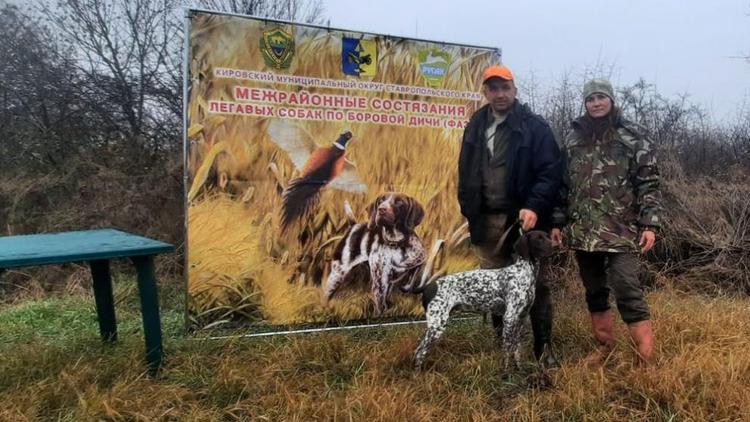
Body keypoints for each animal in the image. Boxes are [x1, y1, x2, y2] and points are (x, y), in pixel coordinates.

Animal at [414, 231, 556, 370]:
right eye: (538, 238)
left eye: (547, 236)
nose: (557, 245)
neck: (524, 273)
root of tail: (429, 286)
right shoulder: (509, 318)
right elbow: (507, 350)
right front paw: (506, 373)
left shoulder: (521, 319)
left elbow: (517, 349)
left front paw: (519, 370)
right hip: (437, 325)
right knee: (419, 351)